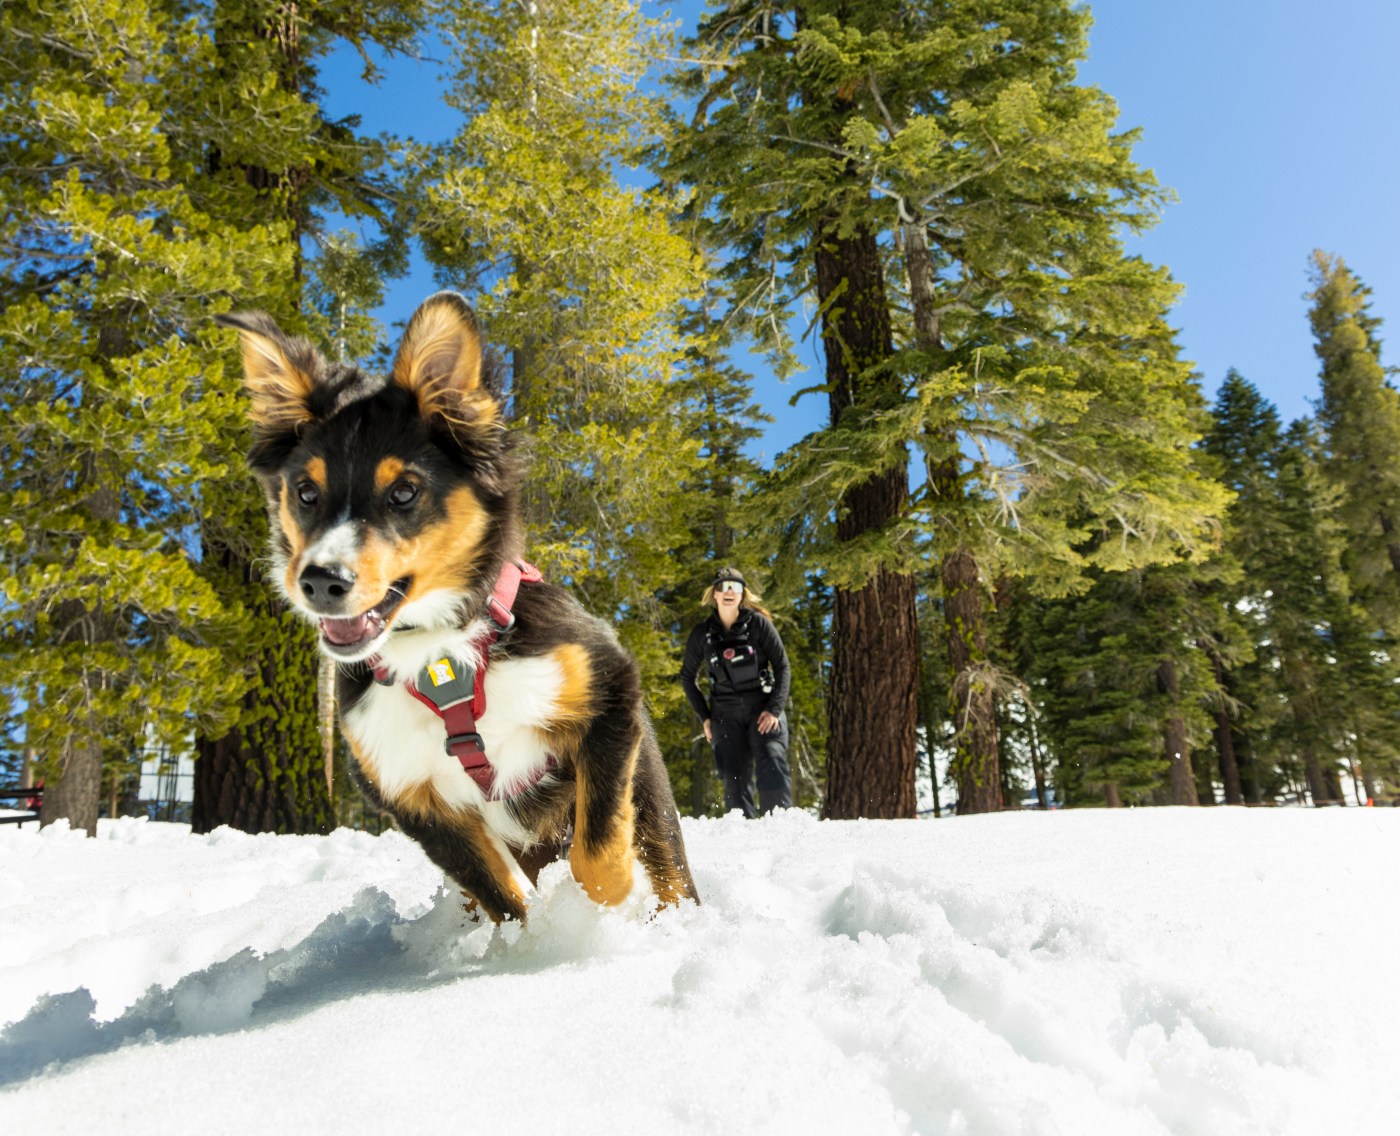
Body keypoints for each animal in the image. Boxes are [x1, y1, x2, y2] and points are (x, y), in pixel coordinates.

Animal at [221, 292, 700, 924]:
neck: (440, 657)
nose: (321, 582)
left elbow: (596, 854)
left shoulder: (608, 689)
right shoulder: (407, 793)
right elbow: (501, 896)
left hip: (649, 785)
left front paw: (602, 909)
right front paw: (532, 939)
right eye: (305, 491)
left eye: (404, 491)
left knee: (666, 862)